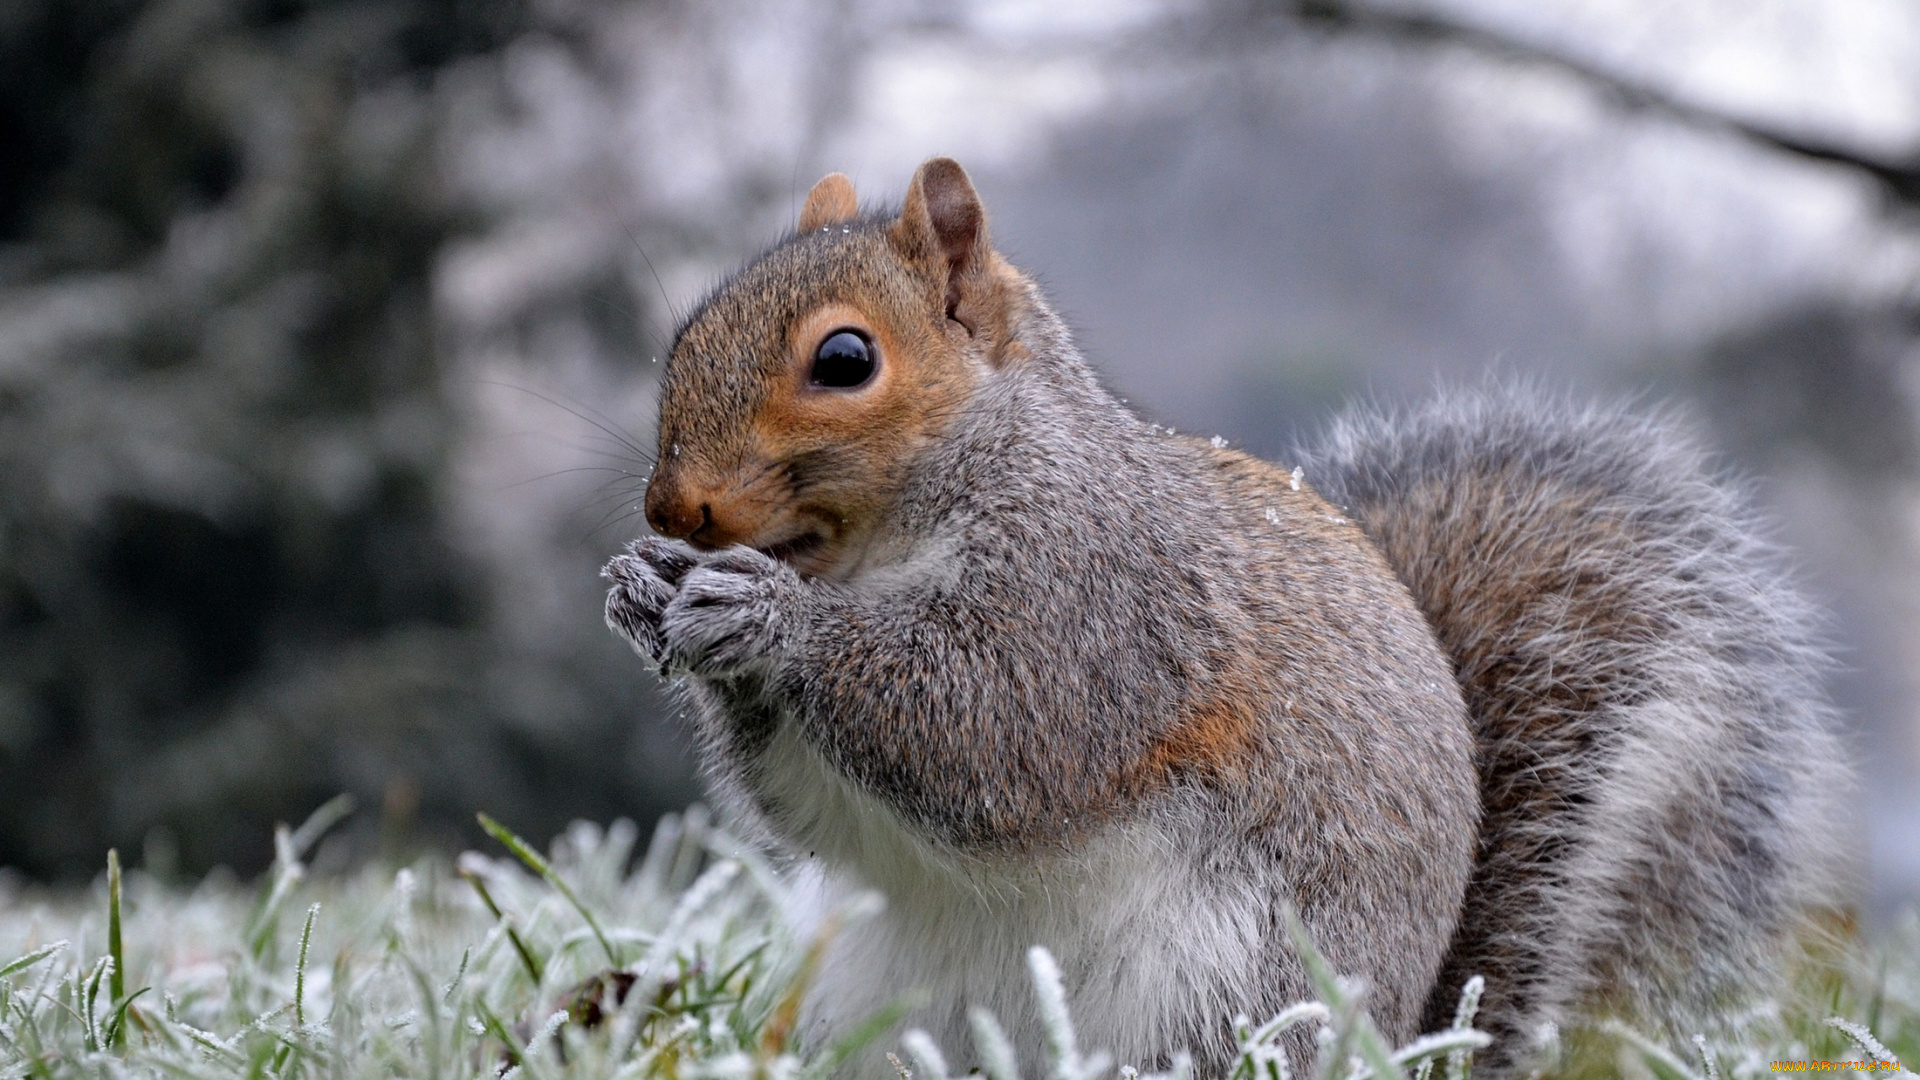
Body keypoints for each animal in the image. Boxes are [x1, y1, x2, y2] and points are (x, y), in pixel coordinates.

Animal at [595, 155, 1843, 1068]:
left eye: (846, 358)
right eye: (687, 330)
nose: (672, 507)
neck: (872, 555)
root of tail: (1398, 1045)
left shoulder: (1100, 600)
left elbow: (996, 729)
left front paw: (767, 621)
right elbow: (808, 807)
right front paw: (646, 591)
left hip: (1220, 998)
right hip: (878, 1002)